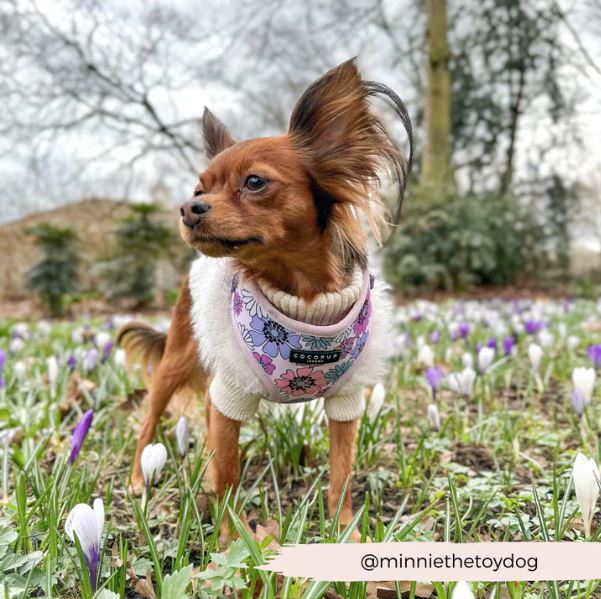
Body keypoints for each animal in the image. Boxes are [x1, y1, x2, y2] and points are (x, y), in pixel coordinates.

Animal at [119, 58, 410, 540]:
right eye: (199, 191)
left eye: (255, 182)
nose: (188, 208)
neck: (302, 299)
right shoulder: (232, 390)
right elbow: (230, 475)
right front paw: (230, 538)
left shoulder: (346, 401)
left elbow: (341, 472)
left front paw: (345, 529)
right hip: (179, 357)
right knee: (149, 418)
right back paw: (139, 478)